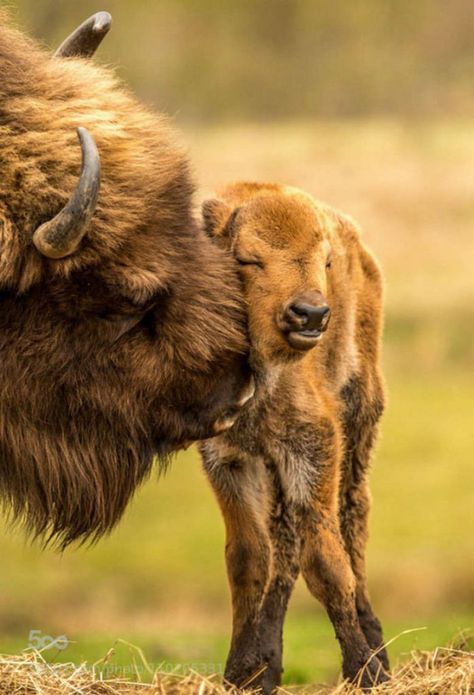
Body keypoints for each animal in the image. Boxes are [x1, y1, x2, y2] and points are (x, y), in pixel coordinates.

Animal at [200, 182, 388, 692]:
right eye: (248, 259)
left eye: (325, 261)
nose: (311, 314)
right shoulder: (229, 459)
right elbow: (248, 560)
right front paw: (241, 671)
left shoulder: (315, 447)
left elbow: (326, 561)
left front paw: (363, 671)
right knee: (283, 547)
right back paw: (268, 664)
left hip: (360, 422)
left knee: (352, 520)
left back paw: (379, 652)